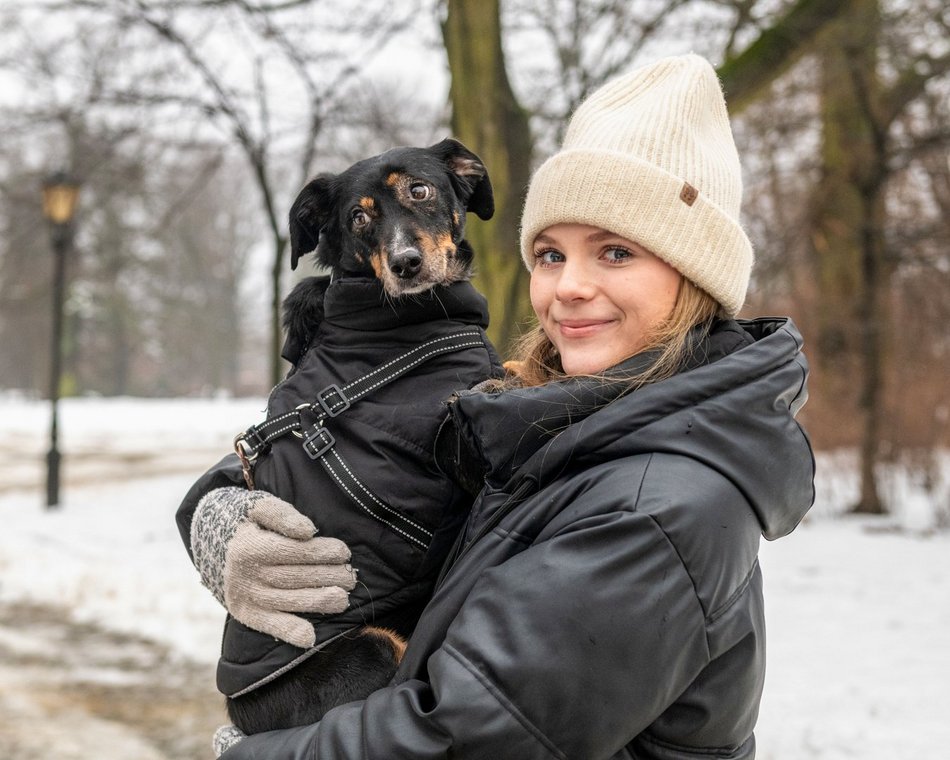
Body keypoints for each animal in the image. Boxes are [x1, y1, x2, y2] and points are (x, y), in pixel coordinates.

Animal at [224, 138, 502, 736]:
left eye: (419, 190)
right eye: (358, 217)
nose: (405, 264)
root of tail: (243, 714)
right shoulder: (459, 446)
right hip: (373, 649)